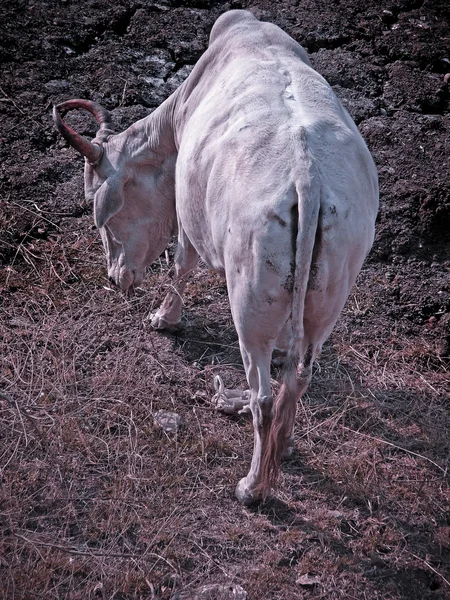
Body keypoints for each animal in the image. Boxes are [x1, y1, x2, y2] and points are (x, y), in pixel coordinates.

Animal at [53, 10, 380, 506]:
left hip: (248, 303)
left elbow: (181, 265)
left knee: (264, 398)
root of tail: (308, 177)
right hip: (328, 300)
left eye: (100, 211)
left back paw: (253, 486)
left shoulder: (188, 216)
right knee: (296, 379)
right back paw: (279, 444)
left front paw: (164, 318)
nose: (115, 278)